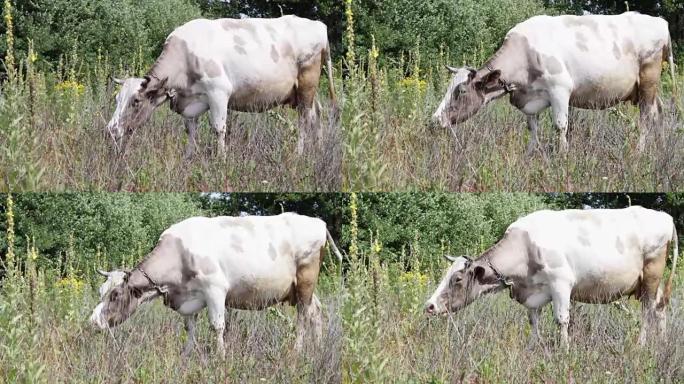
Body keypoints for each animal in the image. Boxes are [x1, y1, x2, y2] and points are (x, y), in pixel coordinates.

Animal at [91, 212, 344, 356]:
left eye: (114, 295)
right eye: (101, 291)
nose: (93, 322)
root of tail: (318, 222)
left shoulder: (215, 290)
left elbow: (217, 326)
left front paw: (220, 357)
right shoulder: (189, 297)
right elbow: (189, 327)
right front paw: (186, 355)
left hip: (306, 279)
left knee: (303, 316)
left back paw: (298, 350)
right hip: (299, 288)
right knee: (316, 312)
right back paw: (318, 346)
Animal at [106, 16, 336, 158]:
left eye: (136, 101)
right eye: (117, 99)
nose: (111, 130)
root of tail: (319, 25)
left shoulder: (218, 92)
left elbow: (219, 128)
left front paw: (221, 159)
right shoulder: (192, 100)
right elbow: (190, 130)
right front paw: (189, 157)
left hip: (307, 82)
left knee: (304, 119)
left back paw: (299, 154)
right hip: (308, 89)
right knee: (317, 113)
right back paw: (319, 150)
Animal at [428, 207, 680, 352]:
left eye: (457, 278)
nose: (429, 306)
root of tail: (665, 217)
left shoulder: (561, 283)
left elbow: (562, 319)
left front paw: (565, 351)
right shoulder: (534, 291)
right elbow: (533, 320)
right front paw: (533, 347)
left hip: (652, 272)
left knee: (648, 310)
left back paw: (641, 344)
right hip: (648, 281)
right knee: (660, 307)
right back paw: (663, 341)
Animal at [436, 12, 676, 153]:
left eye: (461, 91)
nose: (435, 119)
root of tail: (660, 21)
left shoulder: (560, 89)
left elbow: (560, 125)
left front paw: (563, 155)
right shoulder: (530, 96)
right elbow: (532, 127)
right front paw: (531, 153)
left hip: (648, 78)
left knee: (646, 116)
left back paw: (640, 152)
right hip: (647, 87)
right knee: (659, 111)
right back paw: (662, 148)